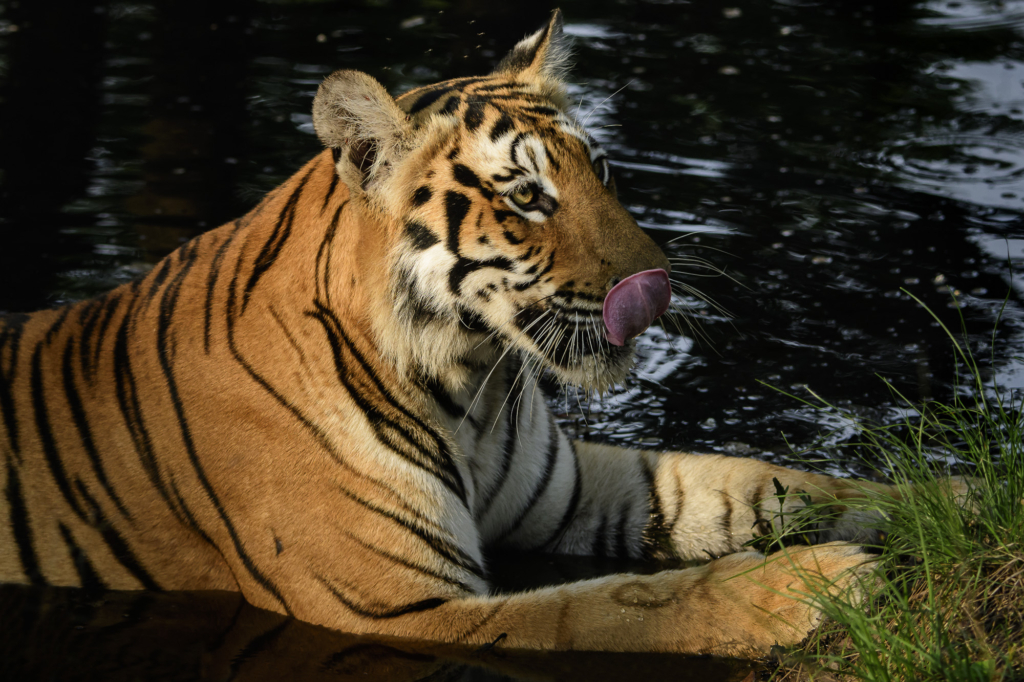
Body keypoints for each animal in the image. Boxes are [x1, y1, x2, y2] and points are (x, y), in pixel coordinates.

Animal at [0, 10, 937, 655]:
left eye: (599, 169)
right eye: (526, 196)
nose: (659, 289)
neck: (468, 384)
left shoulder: (574, 489)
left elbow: (774, 484)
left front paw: (951, 503)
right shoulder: (401, 609)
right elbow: (614, 607)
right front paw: (820, 583)